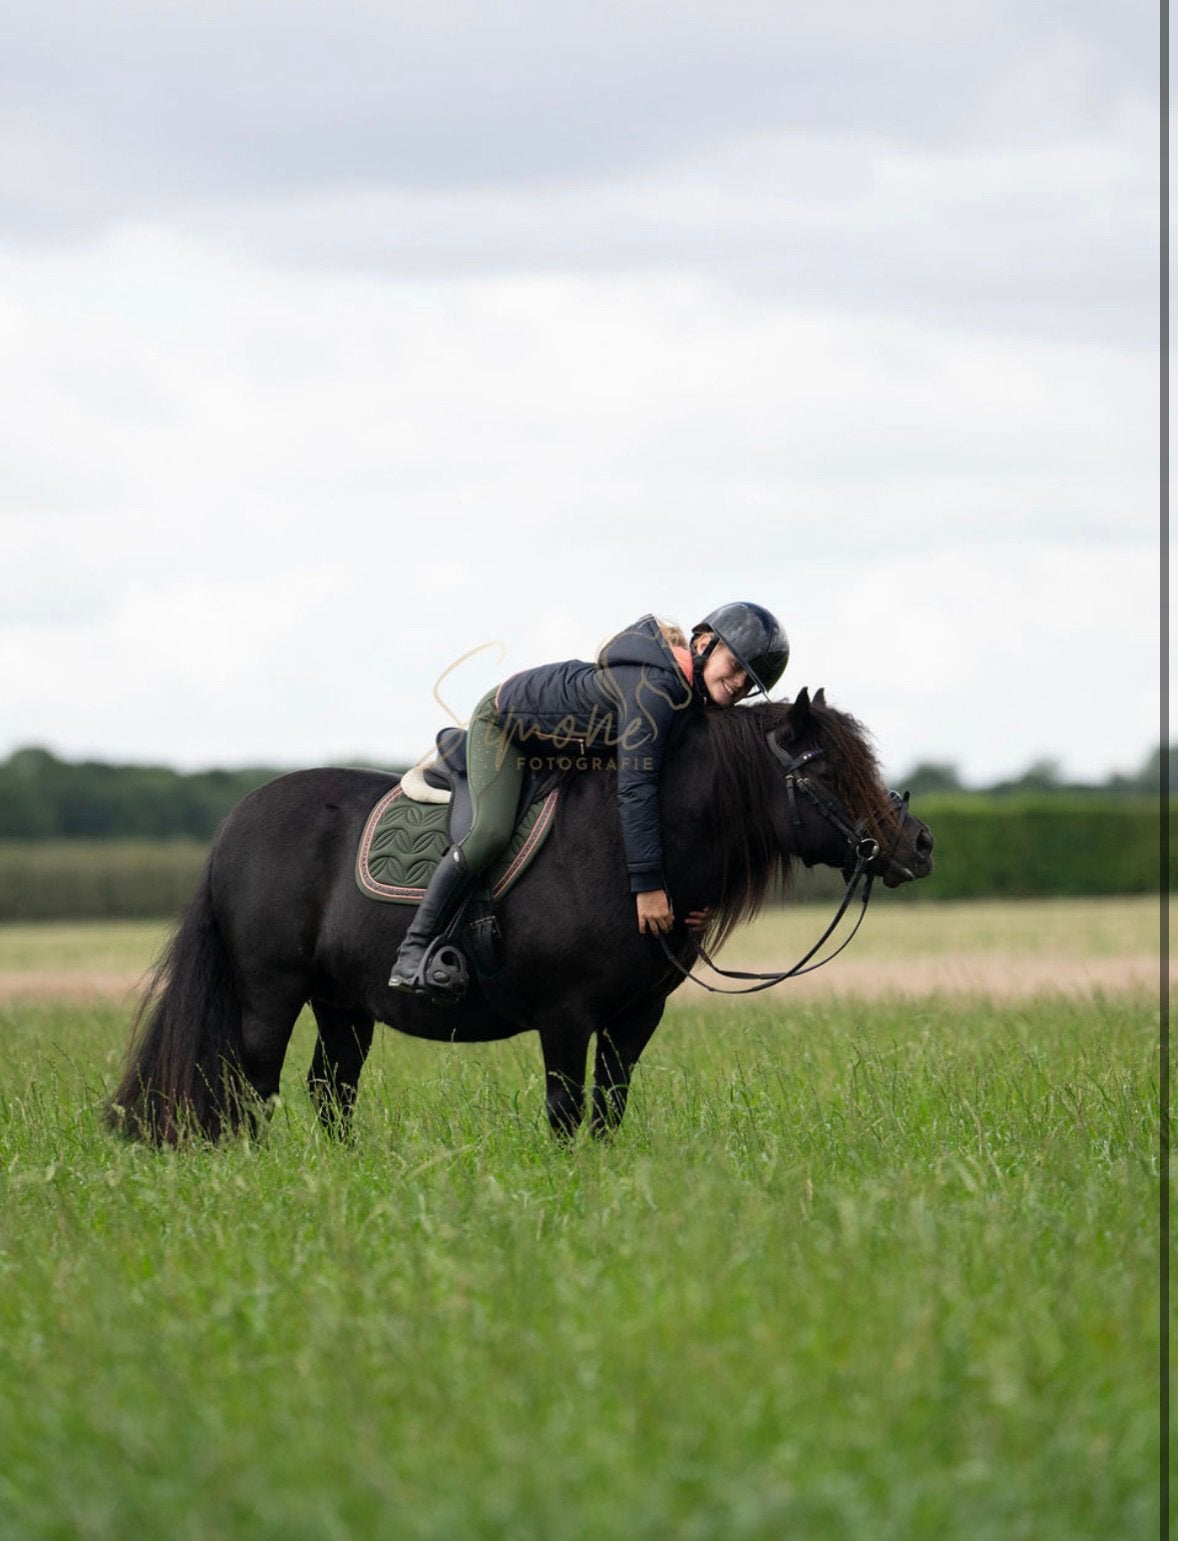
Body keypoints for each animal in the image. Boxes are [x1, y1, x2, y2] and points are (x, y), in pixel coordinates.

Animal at [108, 687, 934, 1145]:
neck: (629, 844)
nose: (918, 844)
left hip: (342, 1002)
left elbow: (608, 1109)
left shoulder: (634, 1017)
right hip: (269, 992)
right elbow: (566, 1111)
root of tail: (235, 823)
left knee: (329, 1091)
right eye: (828, 769)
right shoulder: (564, 1015)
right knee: (252, 1088)